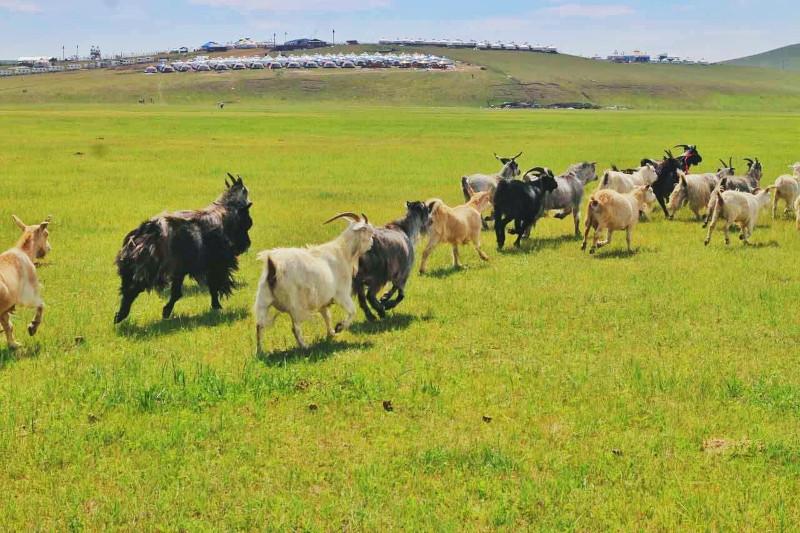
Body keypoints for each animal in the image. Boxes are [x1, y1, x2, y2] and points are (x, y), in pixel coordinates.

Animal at [0, 215, 51, 350]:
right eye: (46, 234)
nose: (49, 248)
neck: (24, 252)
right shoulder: (27, 295)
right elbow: (41, 305)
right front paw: (33, 327)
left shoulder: (6, 308)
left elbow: (8, 325)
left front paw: (13, 344)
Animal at [114, 176, 252, 324]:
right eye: (248, 221)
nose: (248, 244)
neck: (224, 214)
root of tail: (148, 229)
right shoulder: (215, 266)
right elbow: (213, 287)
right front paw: (216, 306)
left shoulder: (180, 271)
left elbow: (177, 293)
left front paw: (166, 311)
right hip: (147, 271)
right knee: (131, 290)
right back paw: (121, 315)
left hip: (132, 269)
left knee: (127, 289)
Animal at [253, 210, 376, 352]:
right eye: (368, 231)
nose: (372, 243)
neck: (343, 252)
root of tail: (274, 267)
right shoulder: (342, 294)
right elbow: (352, 311)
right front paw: (339, 327)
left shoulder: (323, 300)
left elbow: (327, 316)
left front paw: (331, 333)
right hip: (295, 304)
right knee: (295, 328)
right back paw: (304, 346)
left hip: (264, 300)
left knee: (259, 326)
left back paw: (260, 351)